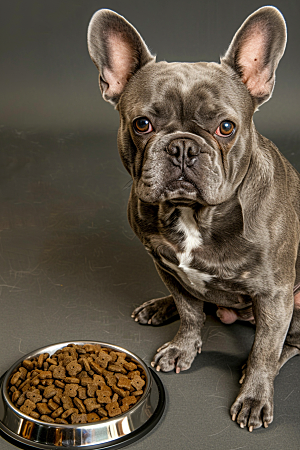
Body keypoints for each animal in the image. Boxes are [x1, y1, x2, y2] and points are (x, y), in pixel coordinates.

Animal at [87, 5, 300, 430]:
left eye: (226, 127)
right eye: (142, 124)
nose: (183, 146)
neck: (194, 216)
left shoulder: (275, 295)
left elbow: (266, 348)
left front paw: (254, 394)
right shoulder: (165, 264)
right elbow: (189, 312)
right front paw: (182, 347)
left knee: (287, 343)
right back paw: (159, 306)